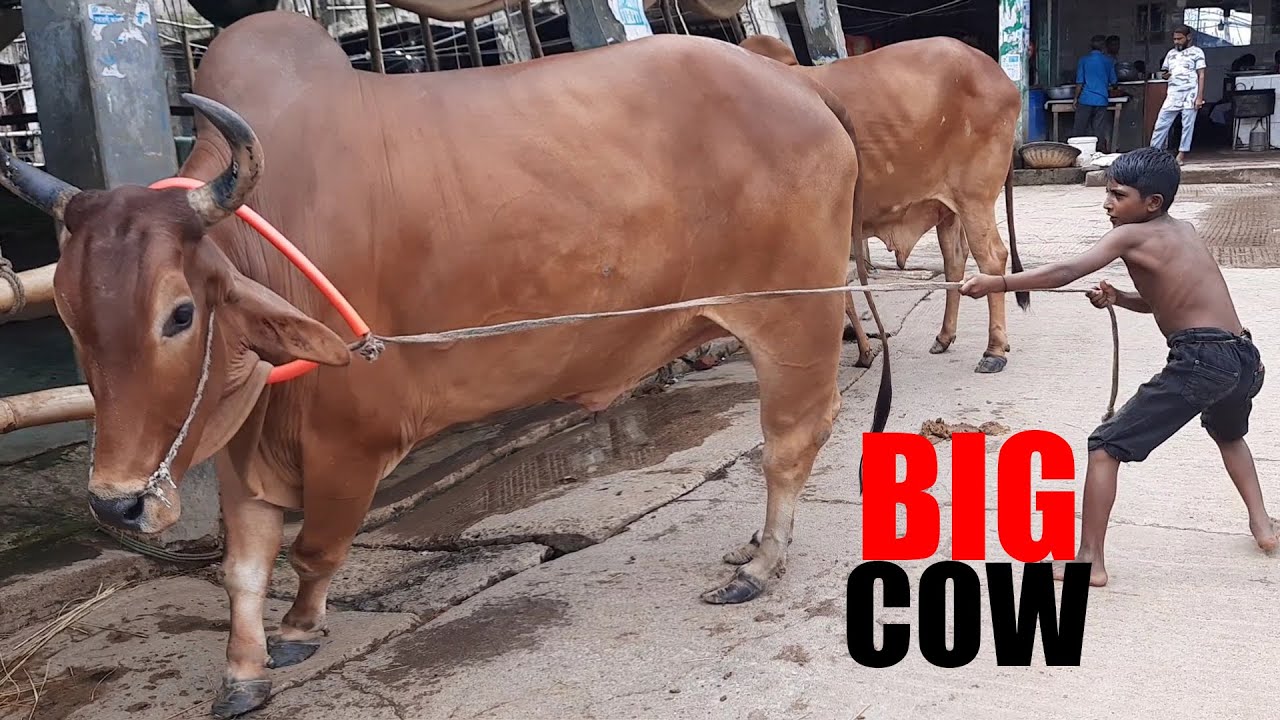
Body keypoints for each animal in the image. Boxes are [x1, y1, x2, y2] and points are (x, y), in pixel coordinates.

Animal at [0, 12, 890, 718]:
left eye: (180, 314)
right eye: (70, 315)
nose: (114, 504)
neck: (270, 239)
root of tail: (801, 88)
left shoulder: (351, 442)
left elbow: (314, 551)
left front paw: (299, 630)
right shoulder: (245, 439)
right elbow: (242, 570)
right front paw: (243, 672)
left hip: (793, 315)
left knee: (791, 440)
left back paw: (763, 563)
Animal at [740, 34, 1029, 374]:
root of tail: (999, 76)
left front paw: (862, 352)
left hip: (975, 199)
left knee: (992, 258)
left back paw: (994, 349)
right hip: (948, 207)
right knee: (955, 259)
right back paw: (945, 337)